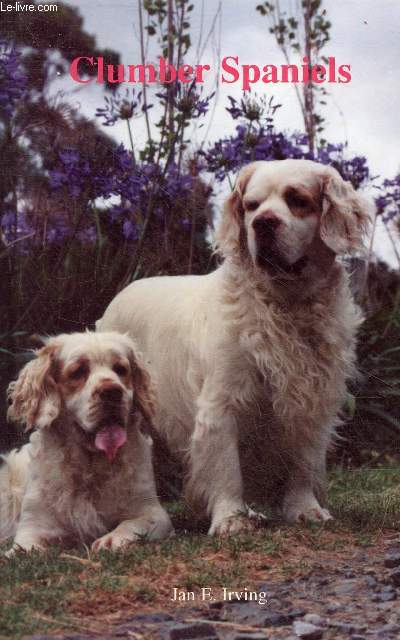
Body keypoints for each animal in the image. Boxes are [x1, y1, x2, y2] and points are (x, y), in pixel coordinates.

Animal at [0, 332, 172, 552]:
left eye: (120, 369)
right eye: (78, 372)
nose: (112, 391)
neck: (90, 465)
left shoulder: (153, 511)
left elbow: (132, 523)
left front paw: (113, 538)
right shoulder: (33, 526)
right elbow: (25, 548)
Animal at [97, 159, 372, 536]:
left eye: (297, 199)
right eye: (251, 206)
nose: (263, 223)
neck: (286, 303)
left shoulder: (313, 399)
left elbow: (304, 460)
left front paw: (305, 509)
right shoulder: (222, 402)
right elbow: (226, 468)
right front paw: (230, 518)